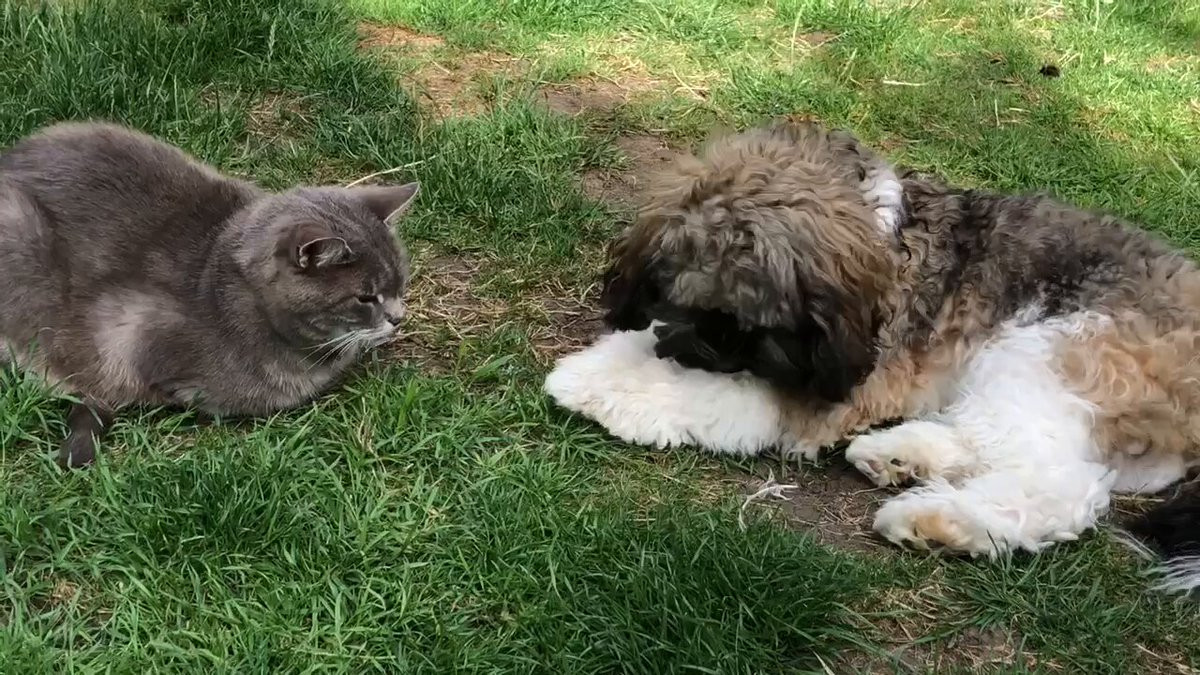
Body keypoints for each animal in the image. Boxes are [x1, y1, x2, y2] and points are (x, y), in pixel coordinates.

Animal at [545, 121, 1200, 591]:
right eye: (688, 304)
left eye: (757, 327)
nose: (704, 353)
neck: (886, 236)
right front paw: (609, 359)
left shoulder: (815, 393)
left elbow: (704, 397)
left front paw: (595, 386)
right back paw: (900, 455)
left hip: (1047, 349)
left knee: (1060, 485)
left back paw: (938, 523)